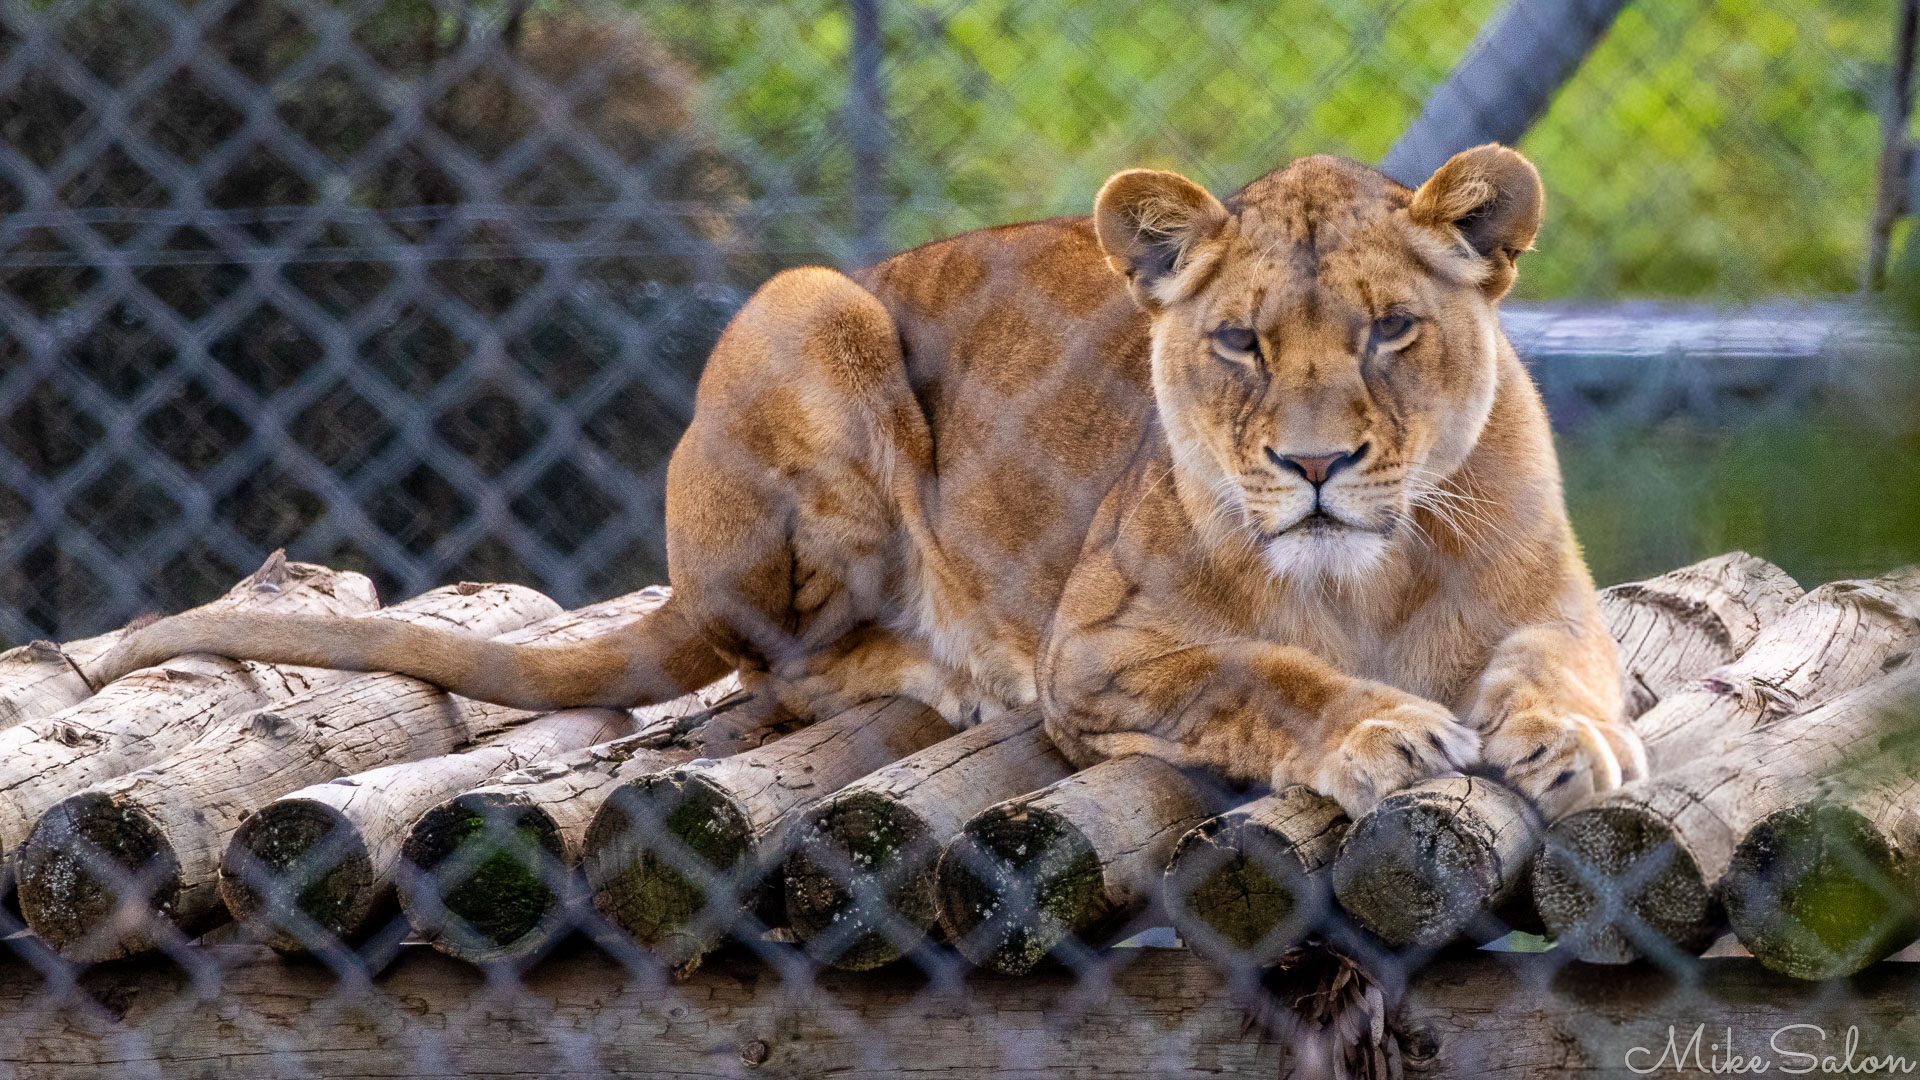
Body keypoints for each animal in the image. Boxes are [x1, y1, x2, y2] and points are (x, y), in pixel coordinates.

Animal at [92, 145, 1642, 817]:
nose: (1315, 464)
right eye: (1240, 342)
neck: (1360, 575)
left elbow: (1566, 666)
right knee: (777, 669)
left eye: (1390, 330)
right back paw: (952, 673)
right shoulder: (1097, 649)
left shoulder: (1557, 602)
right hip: (804, 311)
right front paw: (1378, 730)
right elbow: (1256, 674)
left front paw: (1571, 739)